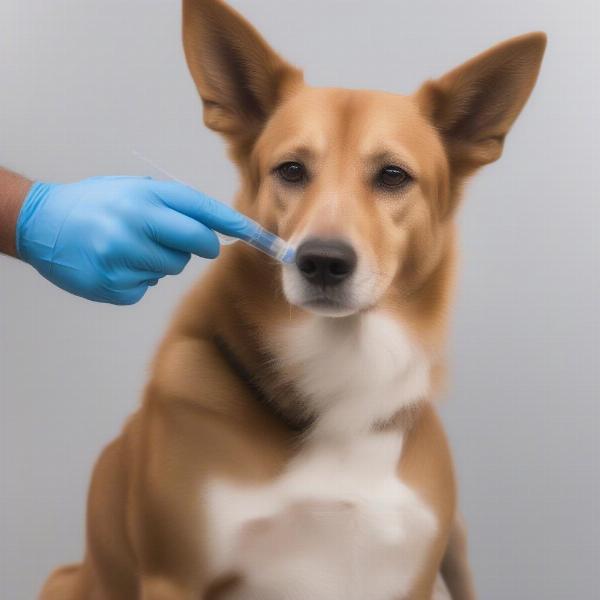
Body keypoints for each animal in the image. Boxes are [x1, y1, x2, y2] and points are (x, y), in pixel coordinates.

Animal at [39, 2, 548, 596]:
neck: (342, 377)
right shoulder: (173, 576)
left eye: (393, 175)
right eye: (291, 170)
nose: (322, 260)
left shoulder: (411, 573)